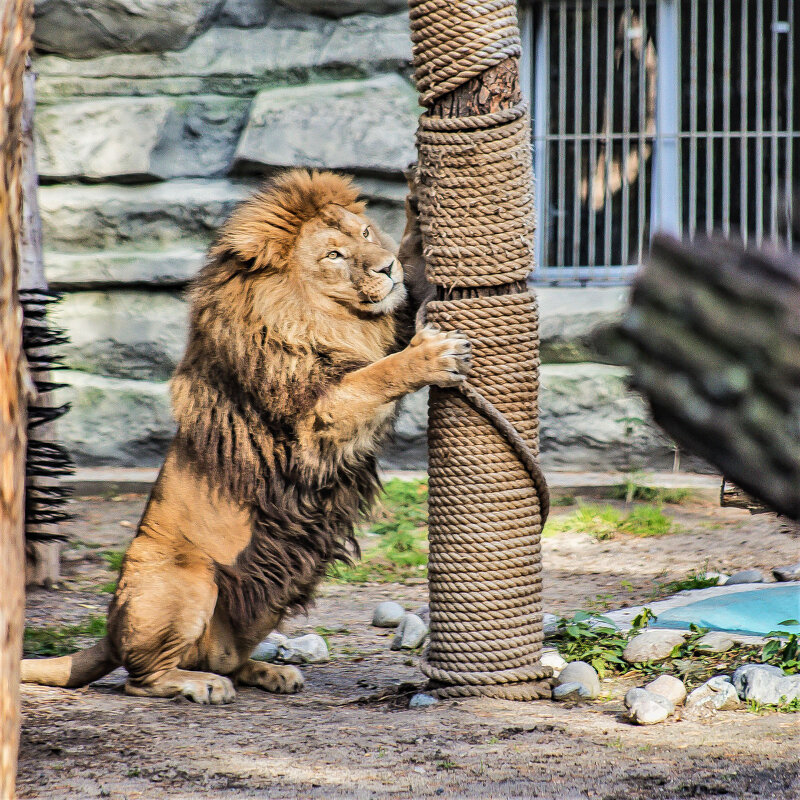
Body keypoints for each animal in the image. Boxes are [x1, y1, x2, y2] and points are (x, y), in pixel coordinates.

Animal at [23, 167, 468, 700]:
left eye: (364, 233)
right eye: (333, 256)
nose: (386, 270)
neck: (332, 318)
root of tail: (108, 631)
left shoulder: (392, 315)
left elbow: (414, 266)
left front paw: (419, 200)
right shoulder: (311, 420)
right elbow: (377, 375)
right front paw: (430, 355)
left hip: (263, 603)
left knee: (224, 658)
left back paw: (270, 673)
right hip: (188, 579)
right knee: (140, 677)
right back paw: (200, 685)